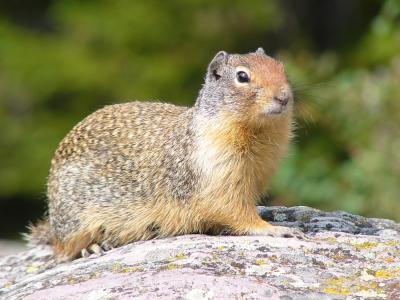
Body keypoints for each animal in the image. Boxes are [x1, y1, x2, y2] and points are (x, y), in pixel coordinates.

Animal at [28, 47, 304, 260]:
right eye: (242, 76)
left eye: (281, 67)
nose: (283, 97)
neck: (259, 133)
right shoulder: (217, 176)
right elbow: (236, 211)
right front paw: (276, 229)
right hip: (75, 219)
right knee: (63, 249)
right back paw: (92, 247)